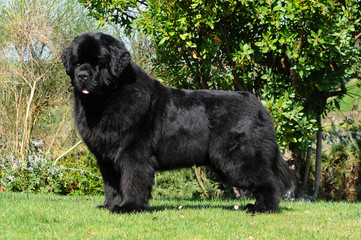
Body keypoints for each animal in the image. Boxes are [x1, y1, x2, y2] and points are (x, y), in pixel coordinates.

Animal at [61, 31, 292, 214]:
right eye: (77, 62)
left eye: (99, 63)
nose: (82, 75)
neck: (105, 101)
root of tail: (259, 106)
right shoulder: (105, 157)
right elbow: (111, 185)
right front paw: (110, 205)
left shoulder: (133, 154)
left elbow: (132, 181)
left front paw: (129, 207)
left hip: (238, 157)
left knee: (268, 180)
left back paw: (262, 208)